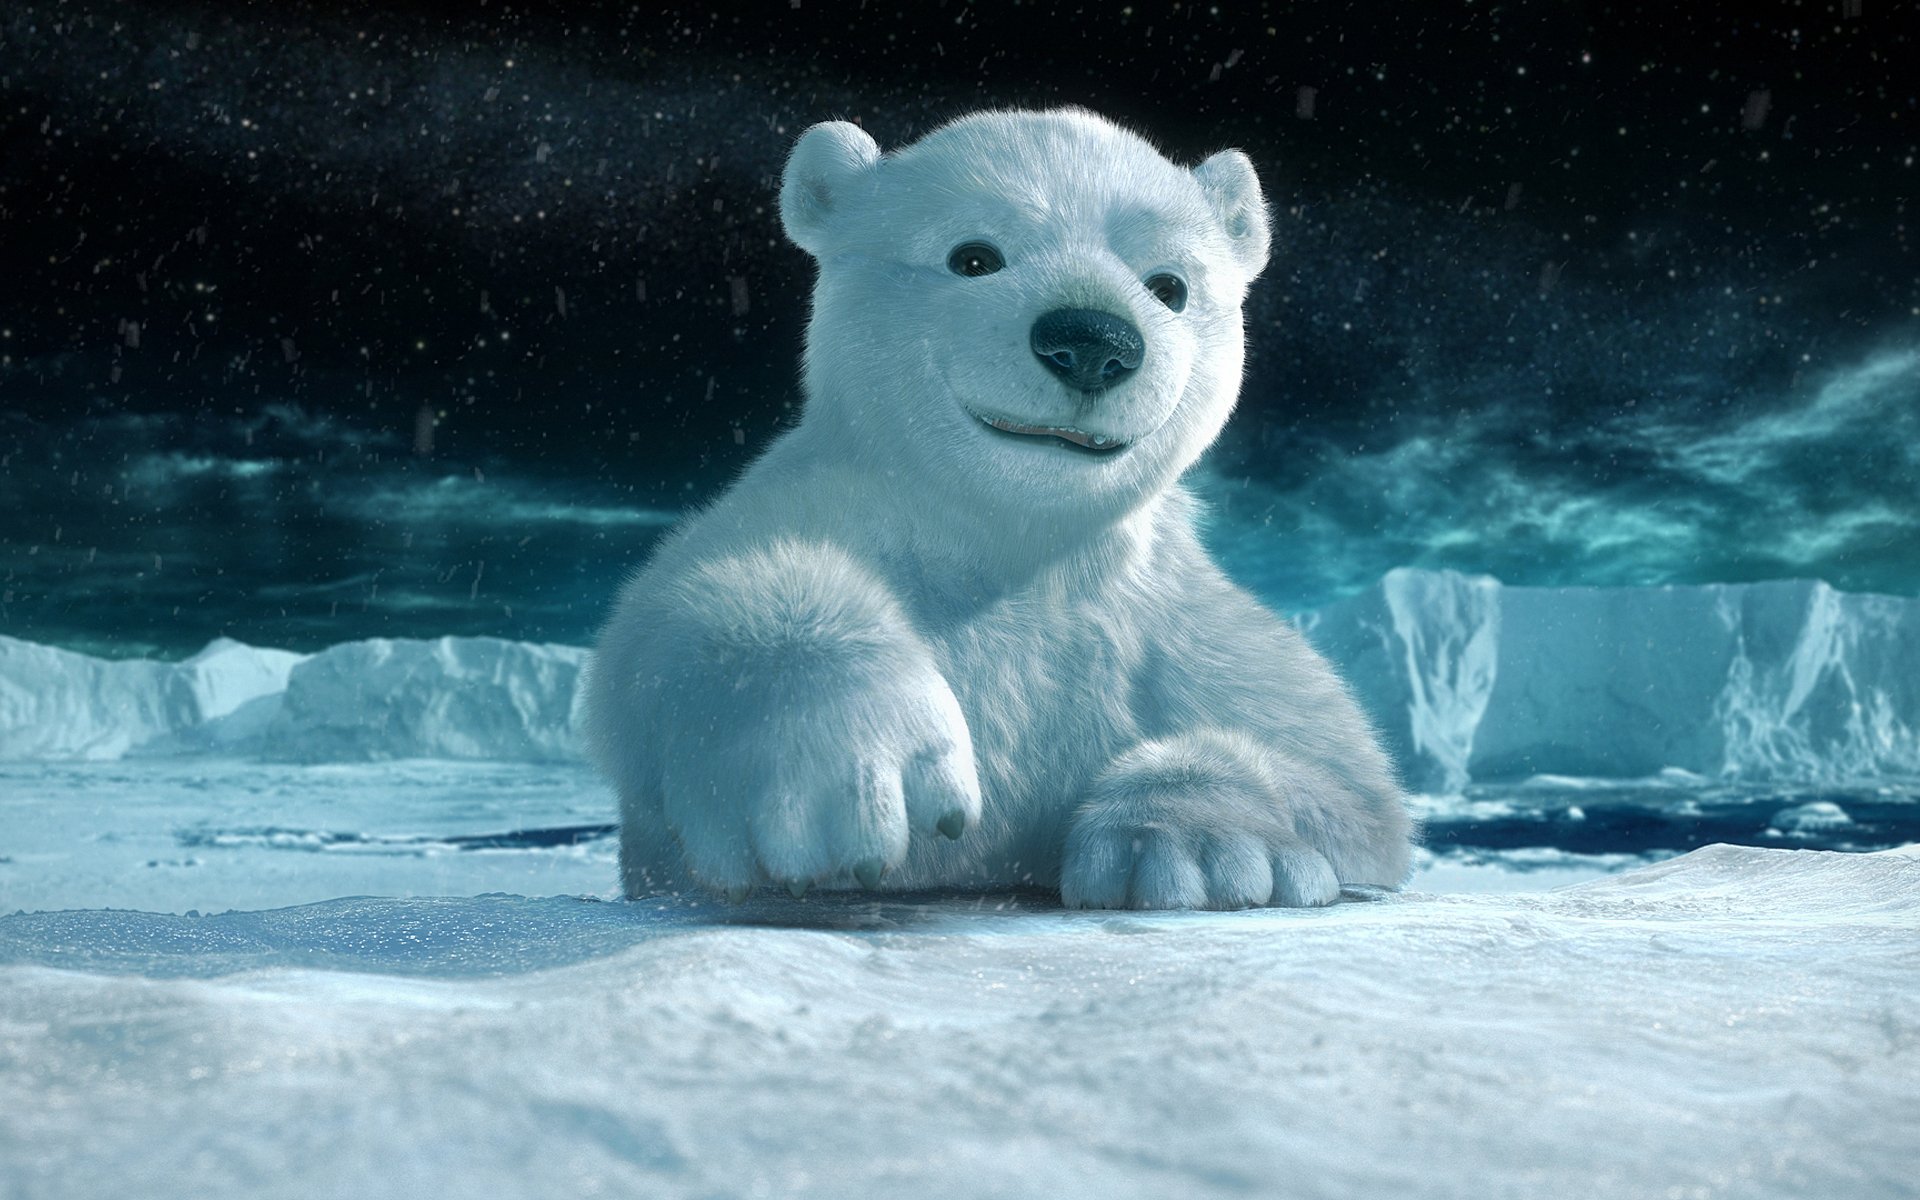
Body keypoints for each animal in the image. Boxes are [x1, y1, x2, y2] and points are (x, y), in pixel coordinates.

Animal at [583, 107, 1413, 909]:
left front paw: (1200, 849)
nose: (1091, 341)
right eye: (974, 256)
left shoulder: (1171, 620)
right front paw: (848, 770)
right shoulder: (825, 508)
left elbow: (1345, 778)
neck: (1015, 546)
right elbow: (661, 629)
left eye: (1169, 285)